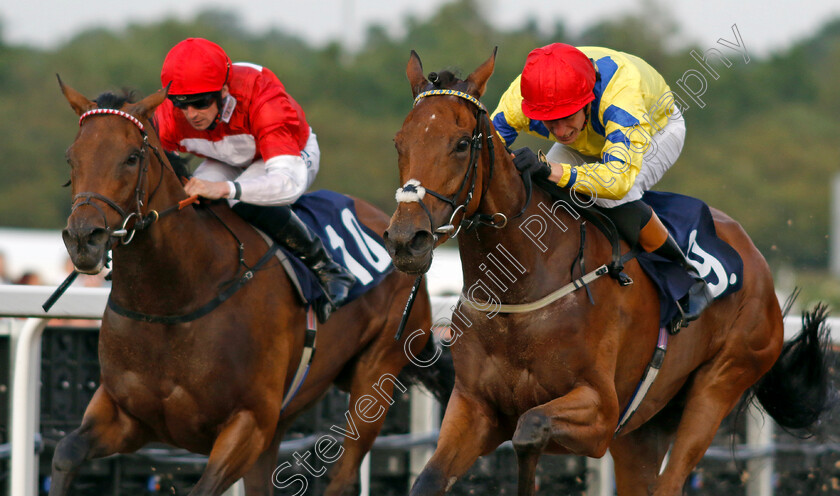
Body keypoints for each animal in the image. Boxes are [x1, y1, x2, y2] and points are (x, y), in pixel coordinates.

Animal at [50, 81, 452, 496]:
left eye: (131, 157)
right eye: (71, 158)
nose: (83, 238)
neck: (171, 301)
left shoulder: (249, 423)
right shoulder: (127, 415)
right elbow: (66, 452)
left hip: (374, 375)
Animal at [386, 48, 832, 494]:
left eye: (462, 144)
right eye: (399, 143)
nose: (407, 239)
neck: (520, 288)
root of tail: (755, 259)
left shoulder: (601, 414)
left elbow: (529, 429)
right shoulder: (473, 407)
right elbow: (430, 479)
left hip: (720, 384)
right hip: (643, 429)